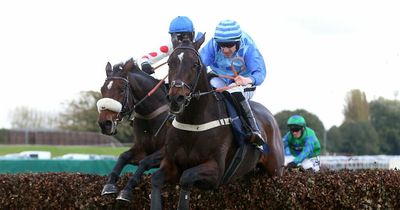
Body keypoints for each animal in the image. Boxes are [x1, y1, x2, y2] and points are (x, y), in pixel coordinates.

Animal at [98, 58, 170, 202]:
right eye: (102, 89)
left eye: (121, 89)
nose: (104, 124)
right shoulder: (142, 149)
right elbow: (123, 157)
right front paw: (109, 185)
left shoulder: (166, 152)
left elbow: (145, 162)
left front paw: (126, 191)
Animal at [149, 34, 284, 208]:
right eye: (170, 63)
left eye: (195, 64)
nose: (176, 99)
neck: (193, 123)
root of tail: (271, 118)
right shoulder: (171, 163)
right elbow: (155, 179)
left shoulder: (216, 172)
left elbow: (186, 177)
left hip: (276, 171)